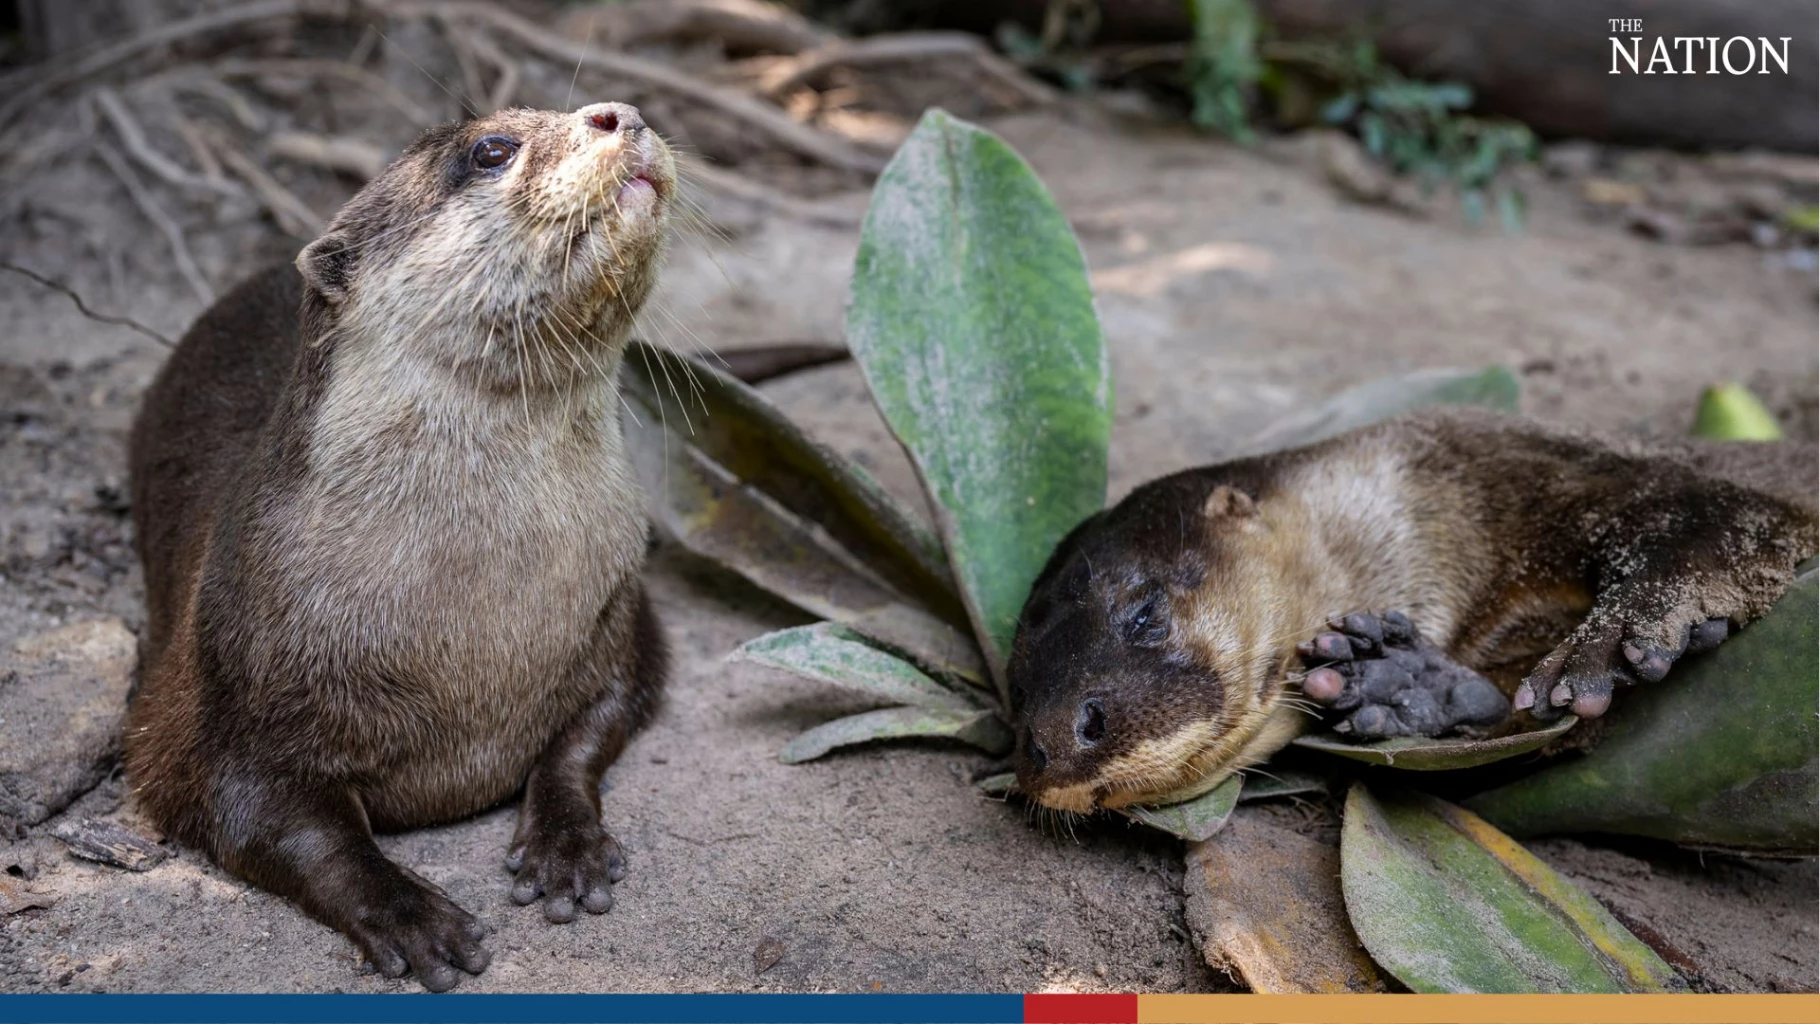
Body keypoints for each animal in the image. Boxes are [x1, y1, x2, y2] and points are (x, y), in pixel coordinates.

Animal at [128, 100, 680, 989]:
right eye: (491, 149)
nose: (621, 113)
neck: (480, 631)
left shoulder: (622, 615)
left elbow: (588, 733)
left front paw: (567, 844)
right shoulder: (221, 699)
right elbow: (277, 824)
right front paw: (410, 916)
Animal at [1011, 411, 1820, 818]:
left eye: (1145, 614)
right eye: (1017, 695)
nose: (1051, 743)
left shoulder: (1553, 472)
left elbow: (1719, 514)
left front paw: (1613, 639)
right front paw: (1409, 686)